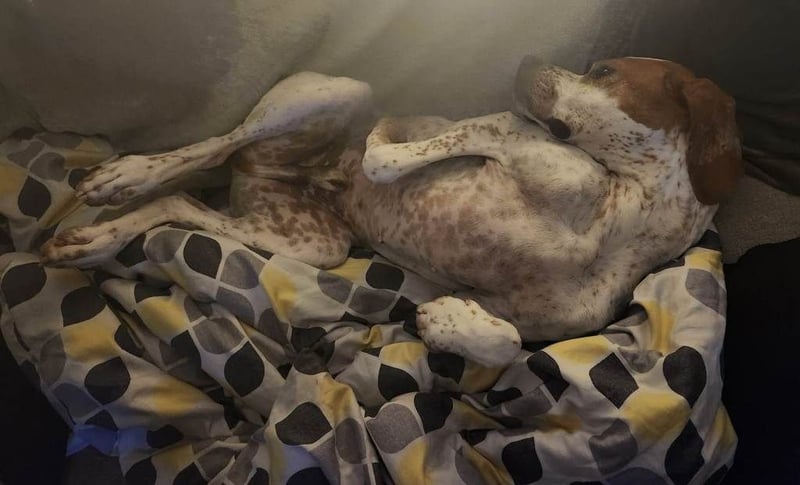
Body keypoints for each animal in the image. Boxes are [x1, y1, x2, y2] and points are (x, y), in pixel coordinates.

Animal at [40, 57, 742, 367]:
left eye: (605, 70)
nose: (525, 60)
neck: (617, 220)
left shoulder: (534, 312)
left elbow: (510, 341)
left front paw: (444, 321)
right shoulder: (501, 130)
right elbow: (391, 156)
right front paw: (385, 142)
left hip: (309, 242)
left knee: (182, 199)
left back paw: (99, 239)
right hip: (337, 94)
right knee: (212, 145)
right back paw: (124, 176)